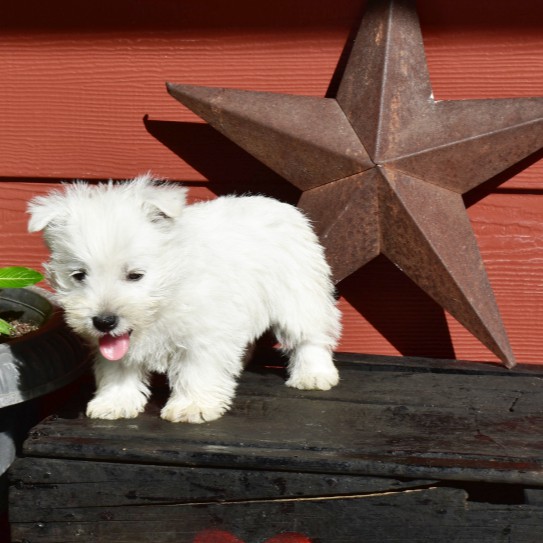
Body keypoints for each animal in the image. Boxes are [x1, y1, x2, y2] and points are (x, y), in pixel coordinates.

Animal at [27, 176, 342, 422]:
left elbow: (196, 369)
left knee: (311, 336)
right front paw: (115, 402)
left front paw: (192, 406)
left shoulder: (203, 334)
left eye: (135, 275)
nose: (104, 321)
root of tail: (278, 204)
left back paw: (314, 375)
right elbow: (118, 368)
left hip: (299, 294)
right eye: (79, 275)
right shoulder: (115, 344)